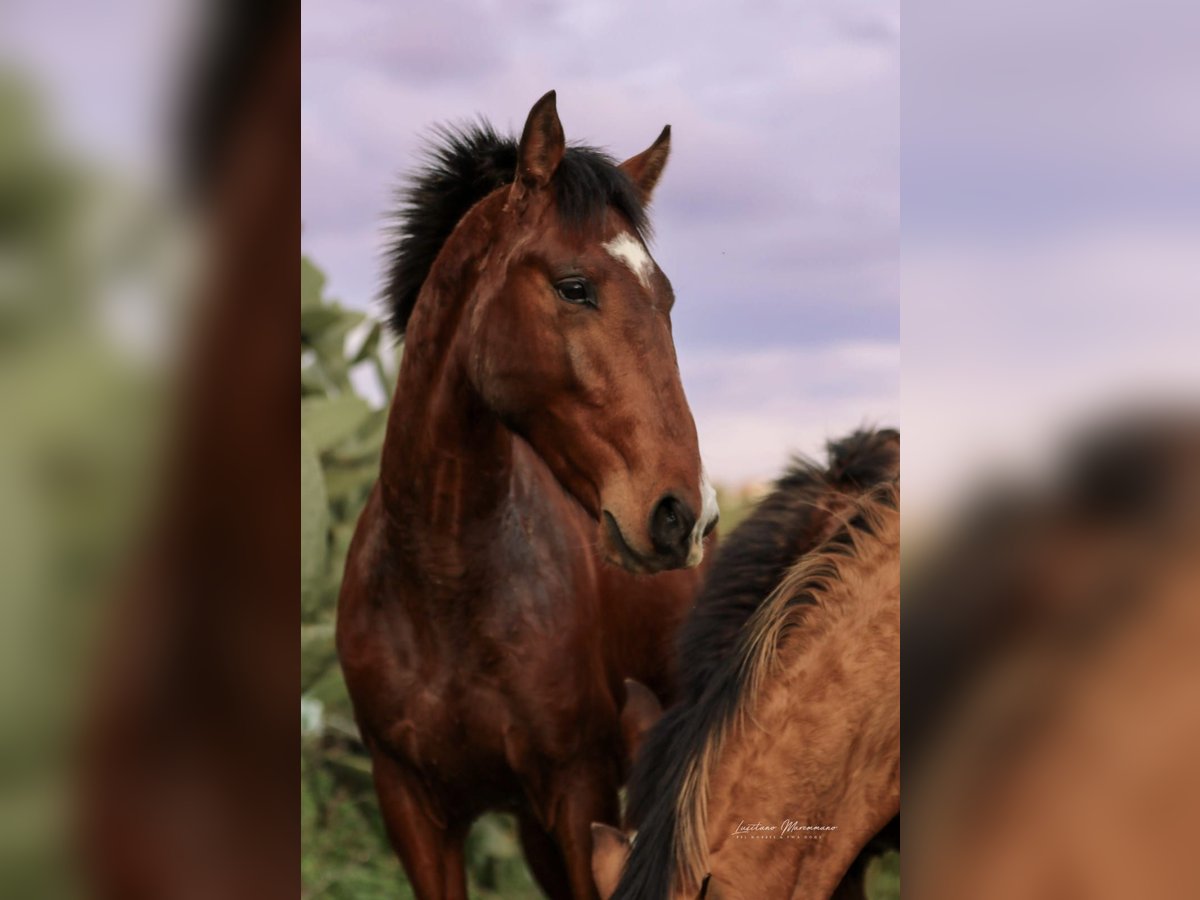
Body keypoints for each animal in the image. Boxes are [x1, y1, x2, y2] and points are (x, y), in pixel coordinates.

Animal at [333, 93, 715, 900]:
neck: (442, 586)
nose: (683, 514)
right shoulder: (412, 808)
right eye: (574, 288)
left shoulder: (579, 792)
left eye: (665, 299)